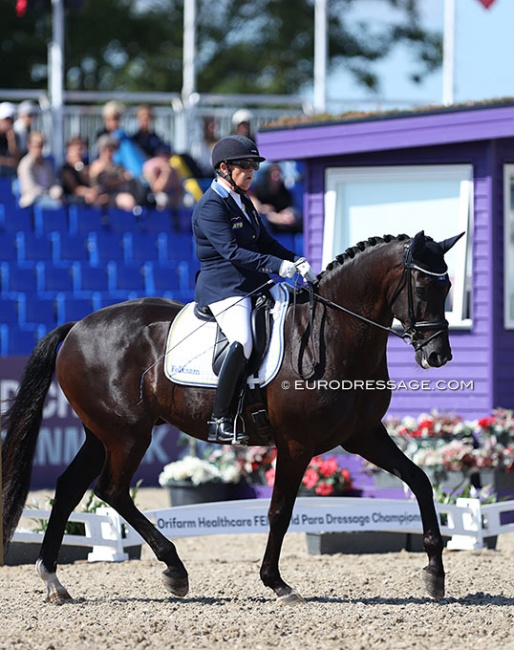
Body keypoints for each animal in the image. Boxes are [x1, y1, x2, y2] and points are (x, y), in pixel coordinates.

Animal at [2, 229, 460, 604]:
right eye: (423, 285)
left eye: (450, 285)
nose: (438, 355)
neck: (335, 335)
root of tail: (78, 326)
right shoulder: (296, 445)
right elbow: (280, 511)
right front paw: (277, 583)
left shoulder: (364, 435)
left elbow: (420, 480)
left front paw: (435, 573)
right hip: (127, 435)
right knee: (111, 490)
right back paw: (175, 569)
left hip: (102, 434)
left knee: (69, 488)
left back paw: (53, 580)